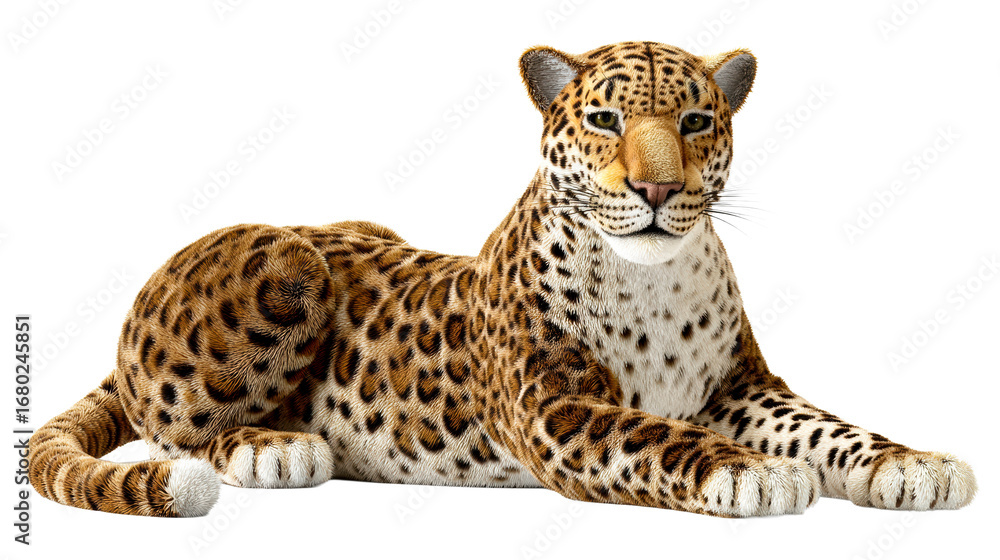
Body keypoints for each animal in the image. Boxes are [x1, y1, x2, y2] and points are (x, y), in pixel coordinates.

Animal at [29, 41, 977, 518]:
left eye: (697, 121)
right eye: (606, 119)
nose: (658, 189)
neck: (655, 283)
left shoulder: (741, 388)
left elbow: (829, 428)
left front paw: (912, 464)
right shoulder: (554, 409)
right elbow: (660, 436)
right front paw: (754, 473)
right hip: (289, 264)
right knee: (175, 428)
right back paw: (279, 448)